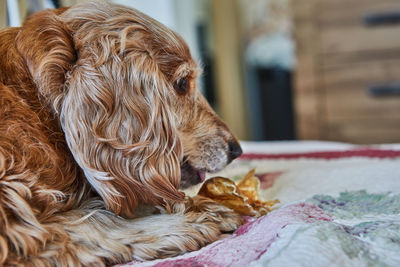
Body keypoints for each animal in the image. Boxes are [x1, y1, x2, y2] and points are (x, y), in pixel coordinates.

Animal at [0, 1, 244, 266]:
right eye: (182, 84)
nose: (237, 150)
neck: (38, 103)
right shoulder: (11, 203)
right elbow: (83, 223)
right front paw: (193, 220)